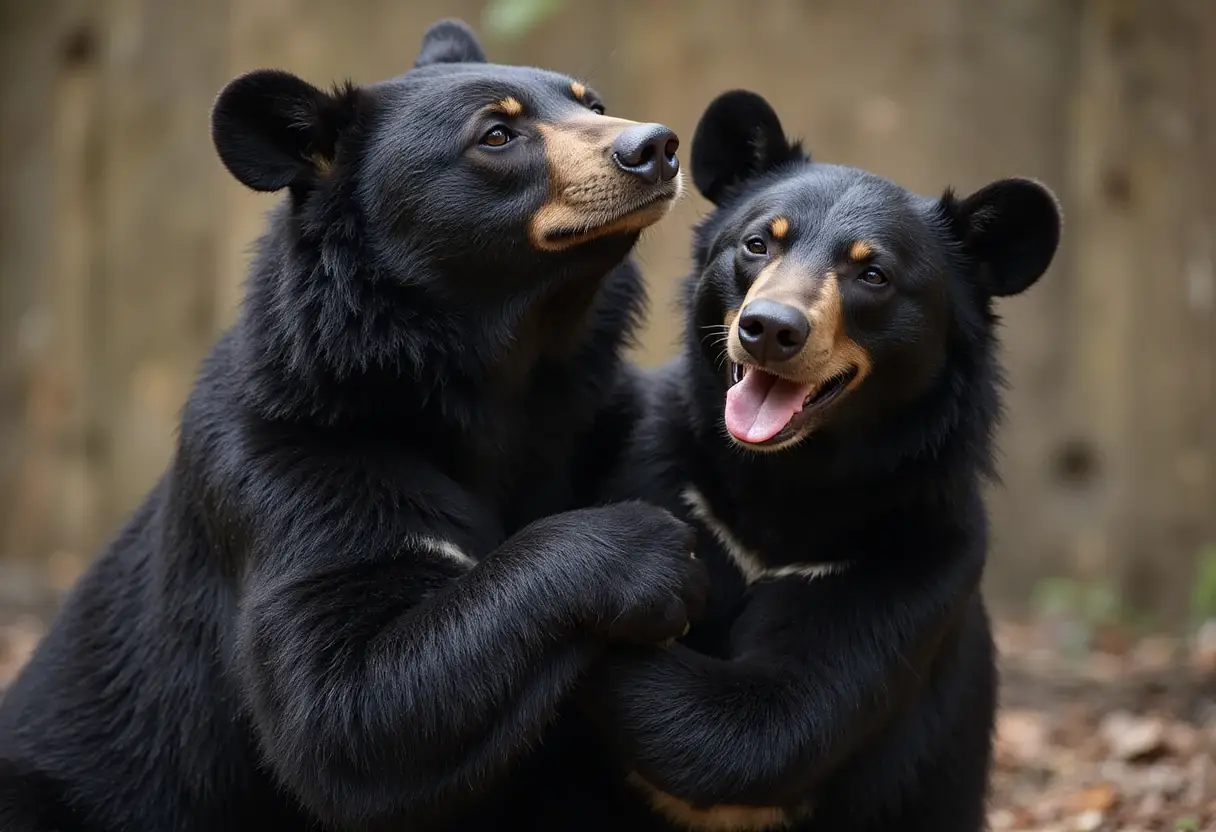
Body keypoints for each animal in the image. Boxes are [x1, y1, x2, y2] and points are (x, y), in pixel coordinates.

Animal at [0, 19, 709, 832]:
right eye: (497, 134)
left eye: (591, 102)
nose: (656, 146)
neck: (502, 375)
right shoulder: (289, 465)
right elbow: (349, 709)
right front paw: (657, 554)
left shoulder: (595, 416)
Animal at [581, 89, 1062, 832]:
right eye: (757, 243)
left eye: (874, 275)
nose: (770, 329)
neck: (789, 477)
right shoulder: (666, 477)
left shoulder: (912, 560)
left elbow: (758, 724)